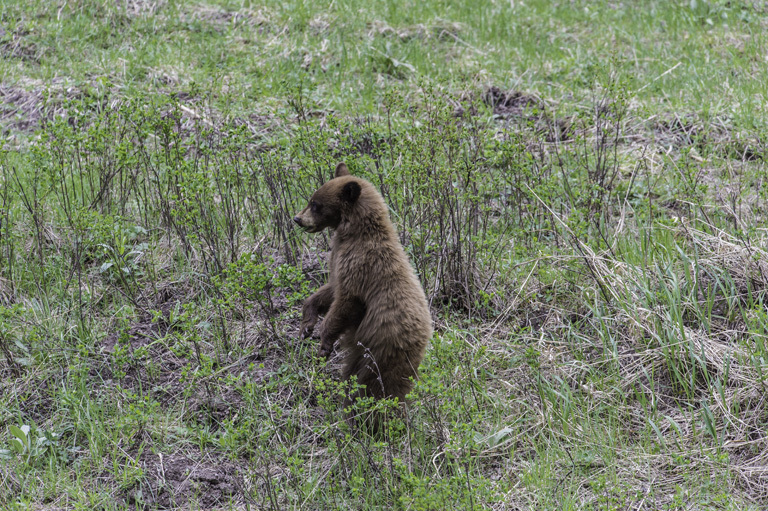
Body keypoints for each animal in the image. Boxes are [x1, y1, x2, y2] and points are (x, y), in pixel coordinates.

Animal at [294, 164, 432, 408]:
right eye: (311, 199)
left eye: (315, 204)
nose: (297, 219)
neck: (355, 232)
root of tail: (426, 335)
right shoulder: (340, 262)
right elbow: (330, 289)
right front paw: (306, 326)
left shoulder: (361, 266)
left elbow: (347, 302)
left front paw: (324, 343)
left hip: (383, 344)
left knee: (377, 382)